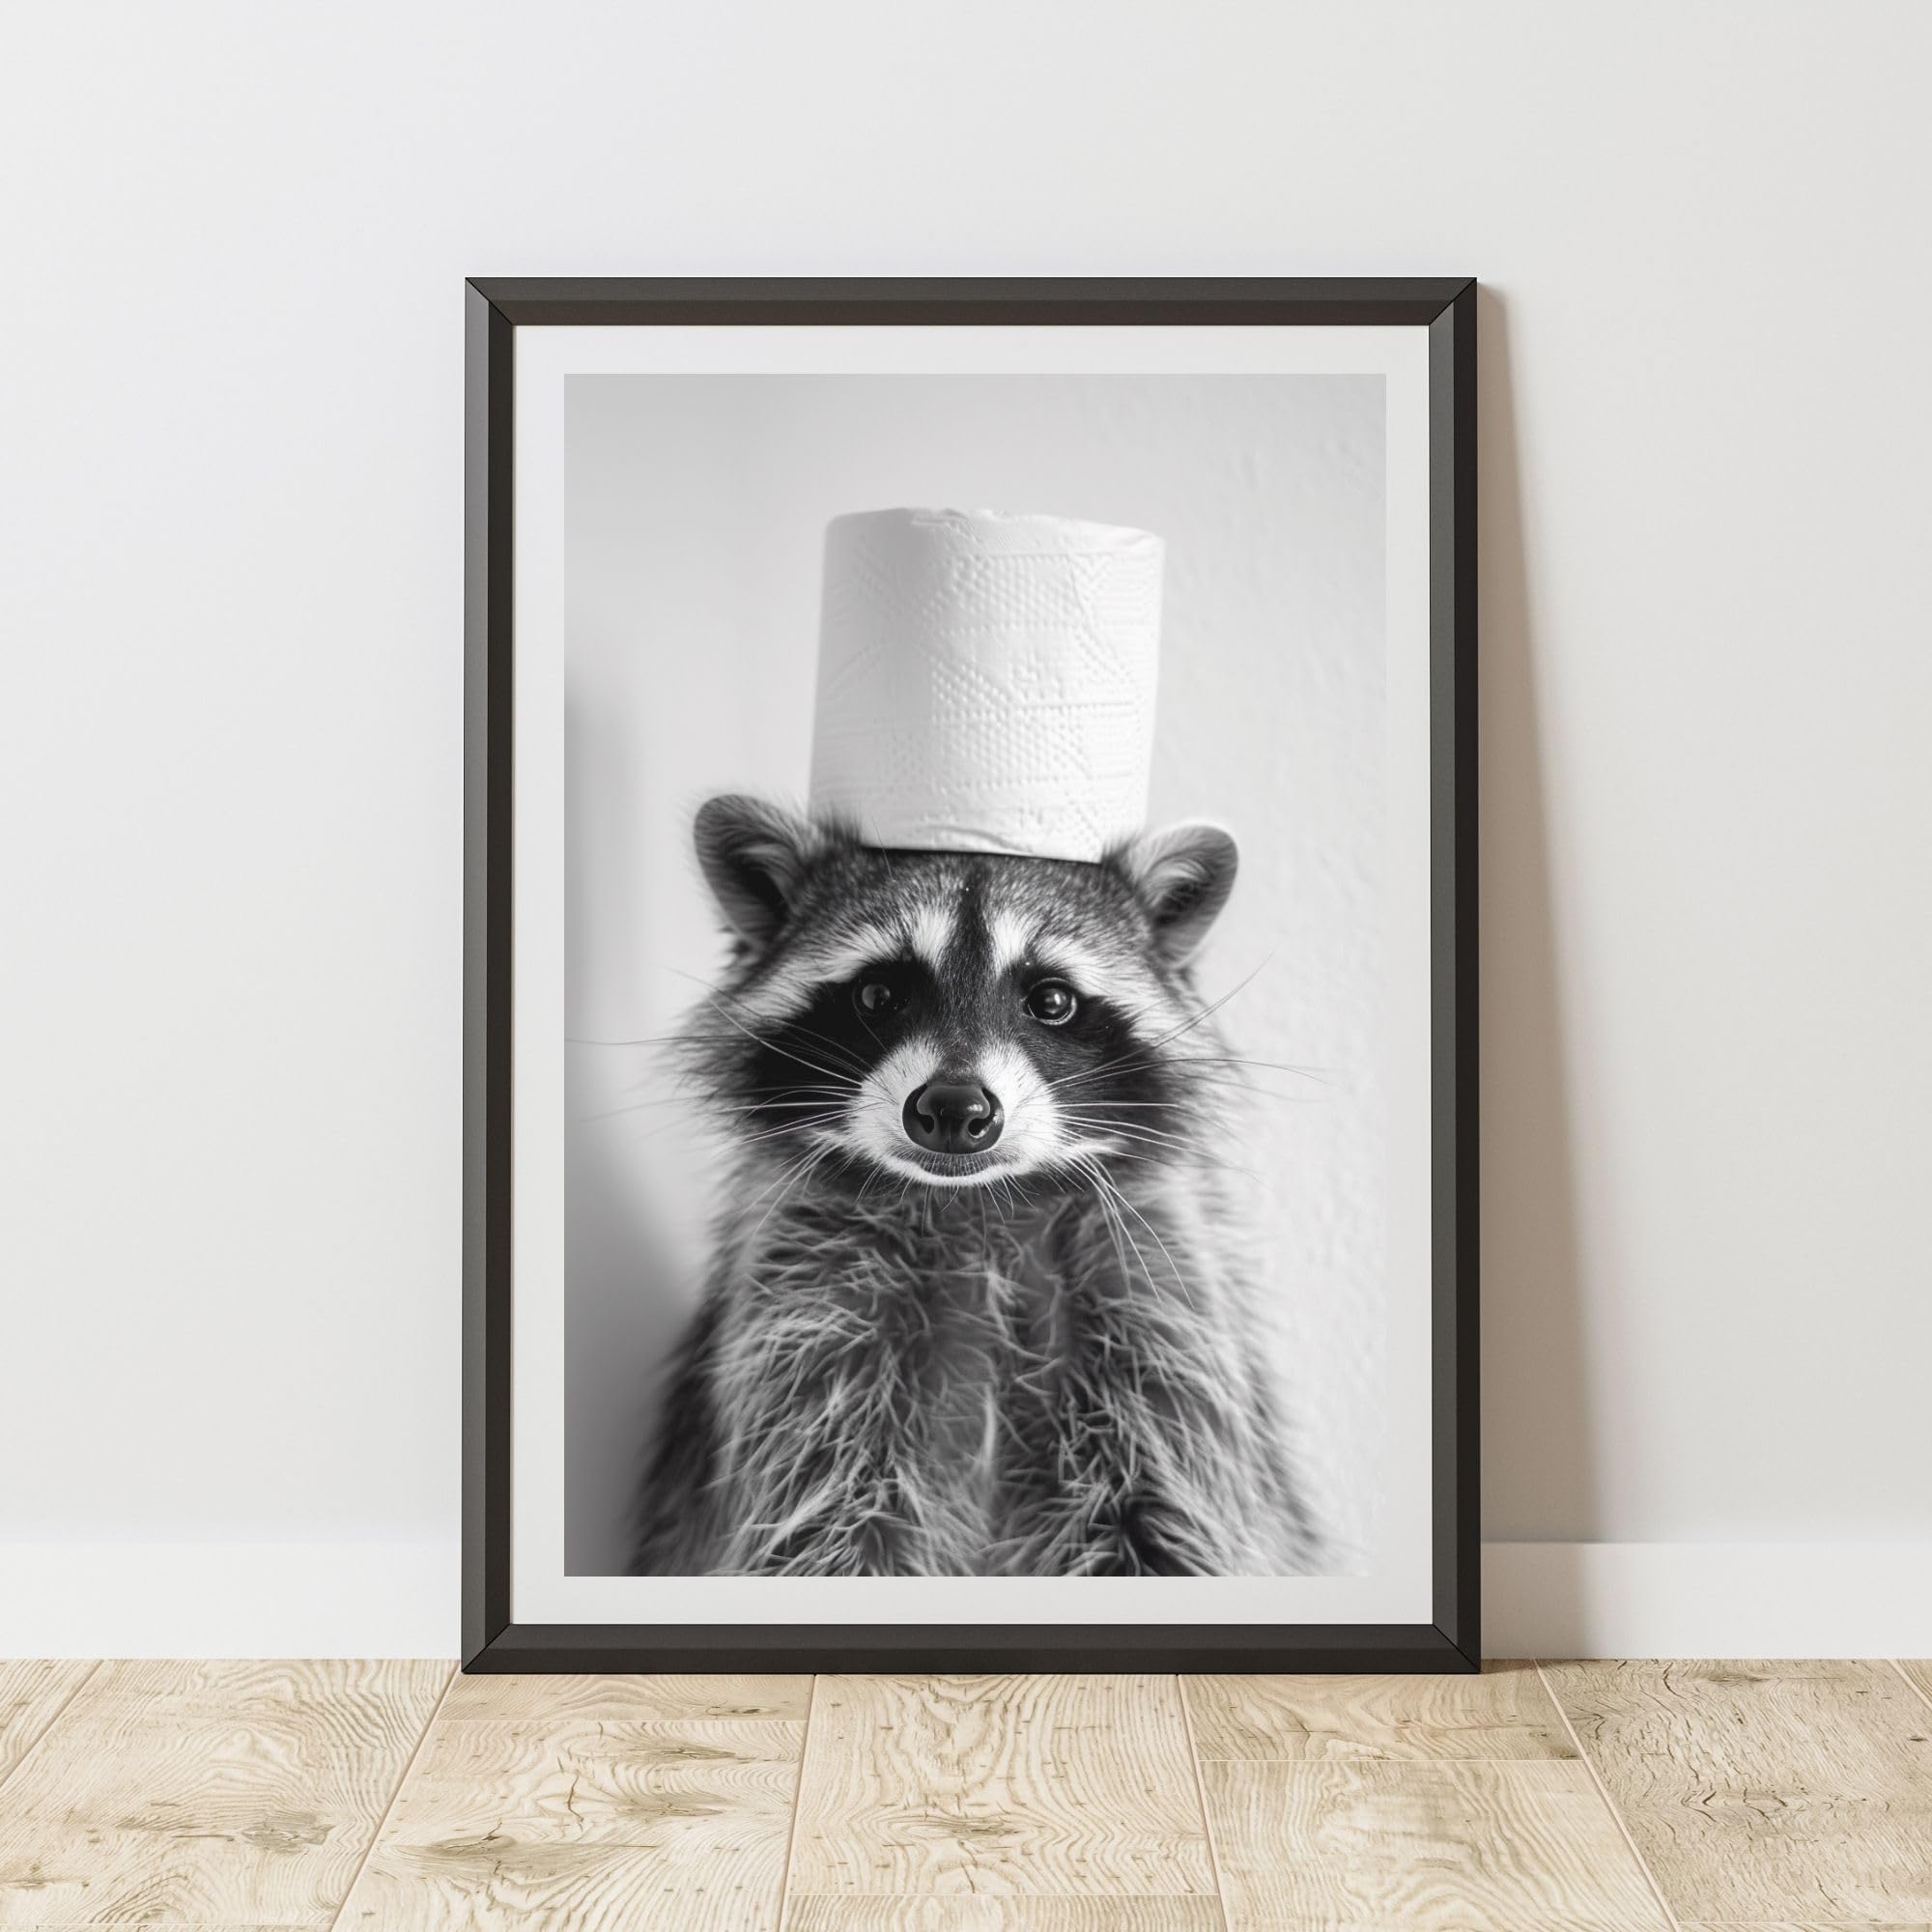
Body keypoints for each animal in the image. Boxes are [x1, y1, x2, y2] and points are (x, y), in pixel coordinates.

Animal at [631, 794, 1320, 1578]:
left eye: (1051, 1000)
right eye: (878, 993)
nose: (955, 1110)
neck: (978, 1204)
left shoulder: (1159, 1307)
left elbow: (1168, 1518)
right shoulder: (806, 1315)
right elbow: (826, 1519)